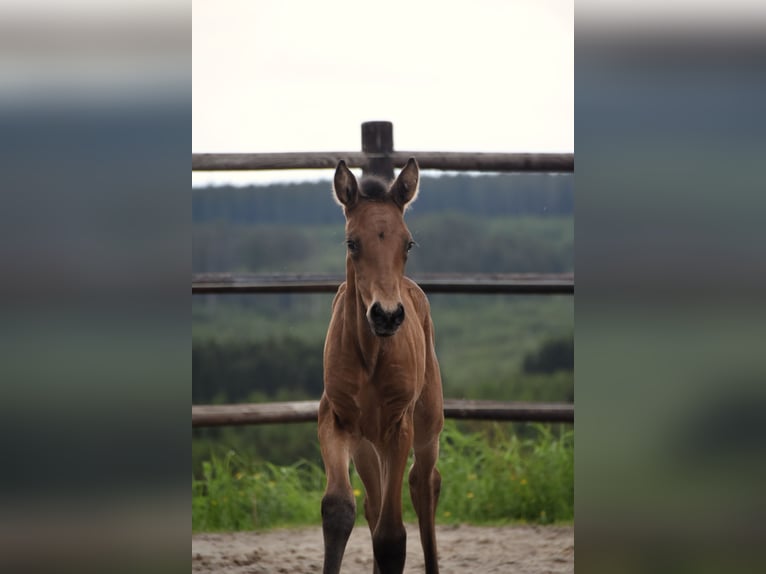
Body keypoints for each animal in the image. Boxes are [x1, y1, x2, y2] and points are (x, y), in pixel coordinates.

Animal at [318, 159, 448, 574]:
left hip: (427, 426)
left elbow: (392, 537)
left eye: (407, 243)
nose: (387, 315)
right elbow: (339, 509)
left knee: (424, 484)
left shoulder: (398, 427)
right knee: (374, 506)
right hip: (365, 444)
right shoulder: (336, 419)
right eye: (352, 242)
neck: (371, 355)